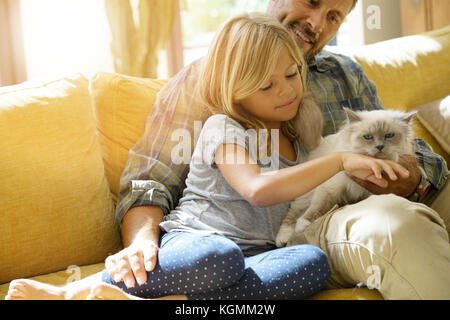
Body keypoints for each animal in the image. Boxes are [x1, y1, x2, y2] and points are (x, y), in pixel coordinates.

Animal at [276, 107, 416, 248]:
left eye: (389, 135)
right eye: (368, 137)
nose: (380, 147)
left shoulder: (370, 193)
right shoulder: (331, 188)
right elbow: (316, 208)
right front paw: (302, 225)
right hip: (306, 195)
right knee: (293, 213)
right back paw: (282, 238)